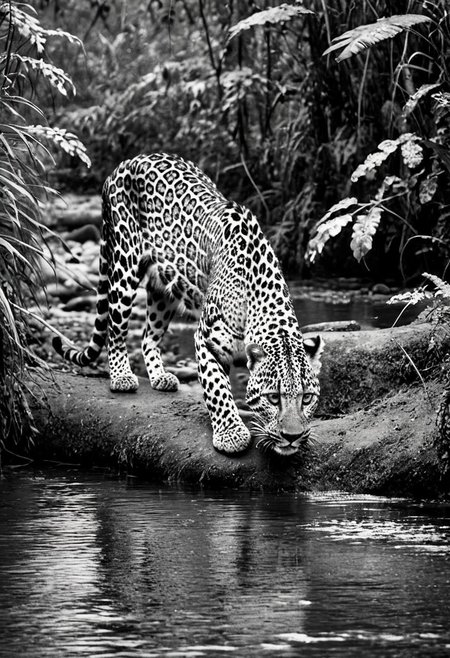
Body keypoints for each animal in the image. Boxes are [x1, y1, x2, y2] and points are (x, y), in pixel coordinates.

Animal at [53, 153, 323, 457]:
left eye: (307, 398)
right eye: (274, 398)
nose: (293, 436)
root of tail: (127, 162)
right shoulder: (206, 340)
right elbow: (218, 389)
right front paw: (231, 434)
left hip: (164, 290)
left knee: (148, 335)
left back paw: (160, 377)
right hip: (124, 265)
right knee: (116, 328)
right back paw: (121, 377)